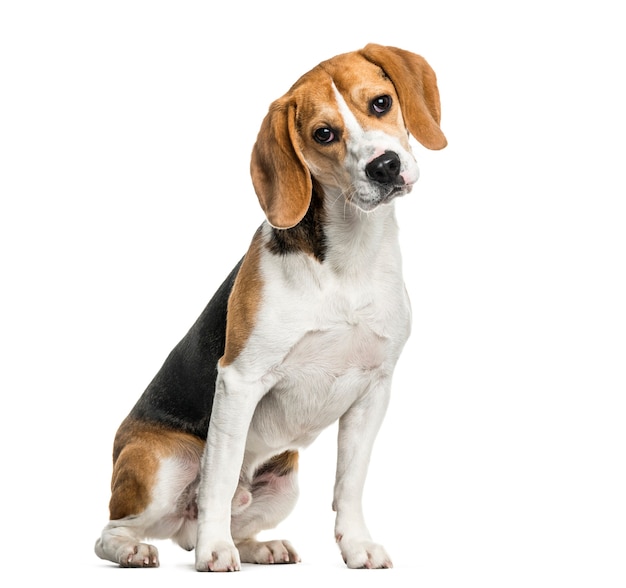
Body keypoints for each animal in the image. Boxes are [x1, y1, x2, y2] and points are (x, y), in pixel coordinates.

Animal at [94, 43, 444, 572]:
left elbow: (351, 482)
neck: (349, 258)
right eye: (324, 134)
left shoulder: (374, 389)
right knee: (116, 530)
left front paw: (357, 545)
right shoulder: (239, 381)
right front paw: (215, 553)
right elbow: (218, 481)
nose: (383, 166)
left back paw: (259, 546)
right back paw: (142, 548)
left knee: (221, 524)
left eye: (381, 103)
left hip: (285, 483)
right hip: (163, 464)